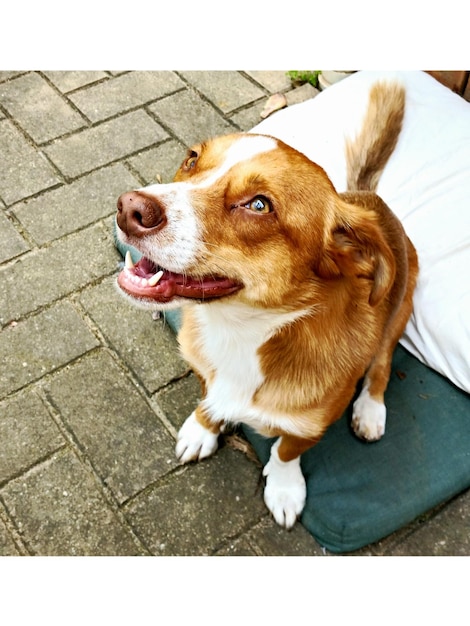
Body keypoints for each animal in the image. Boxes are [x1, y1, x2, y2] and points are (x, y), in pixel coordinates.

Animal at [115, 78, 416, 528]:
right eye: (191, 159)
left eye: (259, 204)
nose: (128, 208)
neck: (241, 331)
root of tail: (366, 197)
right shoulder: (206, 373)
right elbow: (208, 401)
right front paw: (203, 428)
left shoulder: (311, 425)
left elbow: (286, 450)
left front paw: (285, 486)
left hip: (402, 305)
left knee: (381, 363)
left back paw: (370, 410)